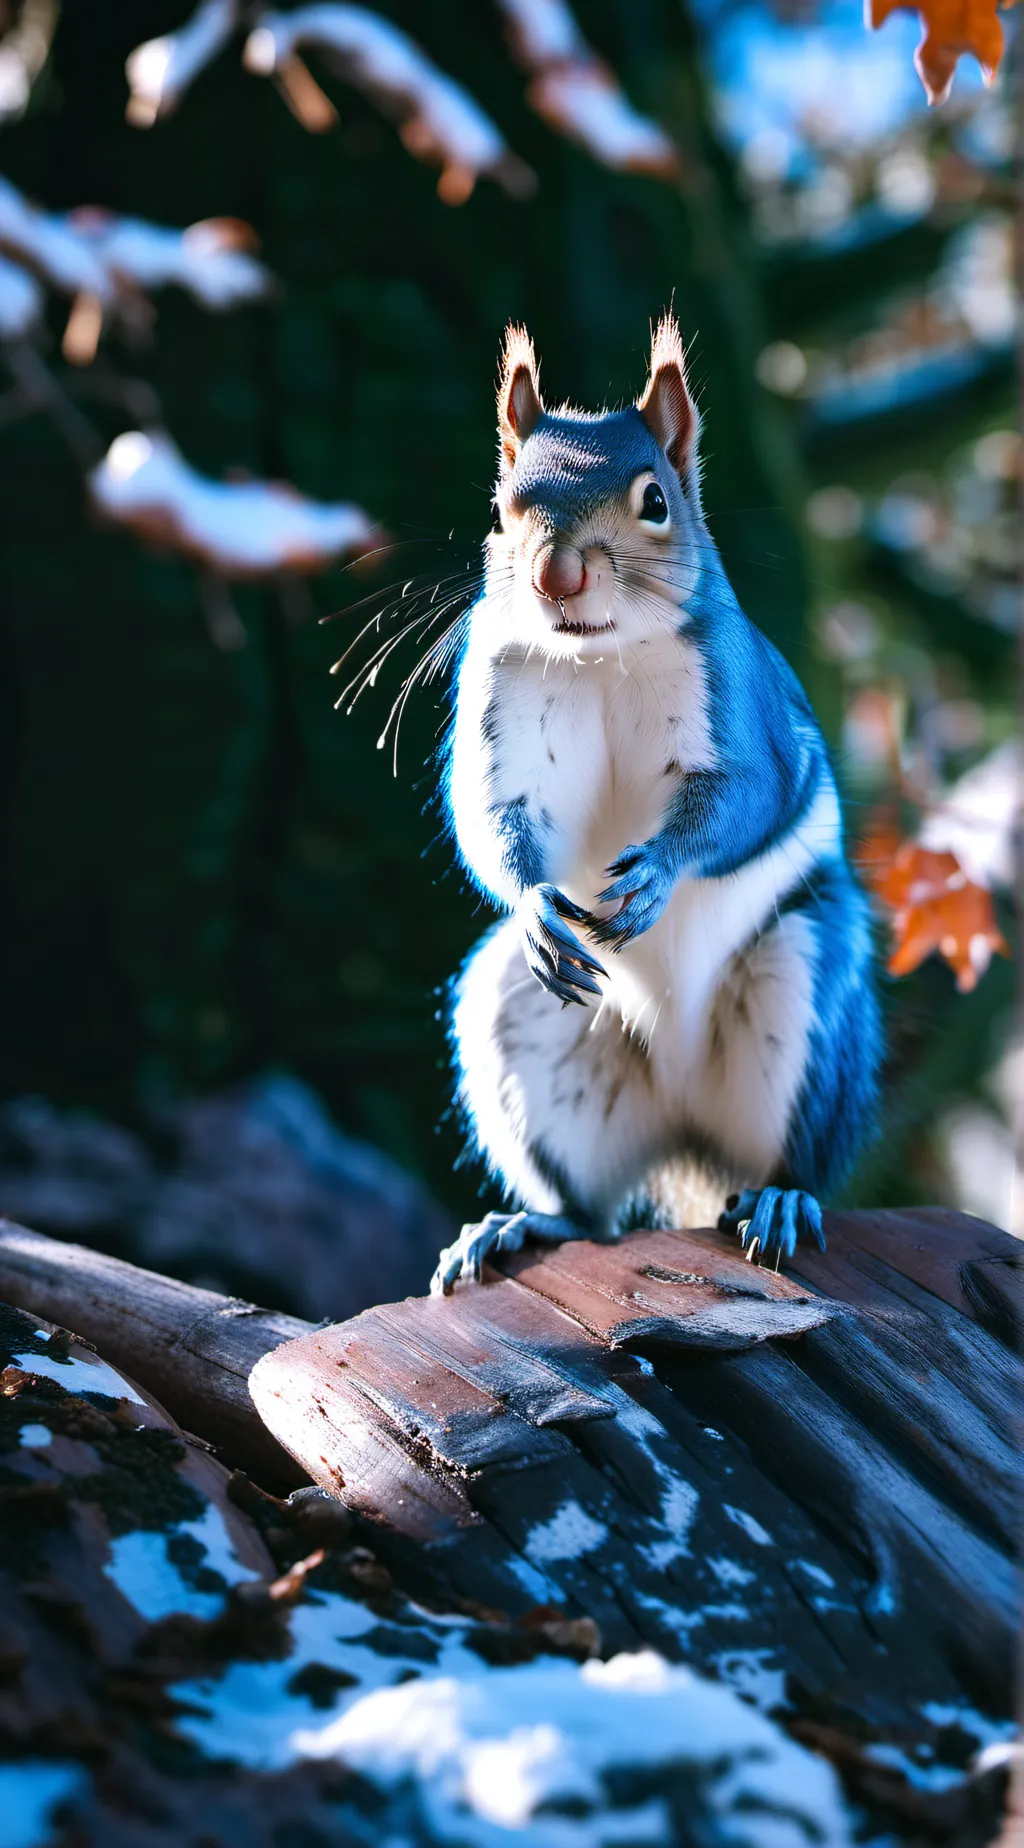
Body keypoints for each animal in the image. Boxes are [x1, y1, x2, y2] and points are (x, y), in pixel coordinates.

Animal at [429, 314, 881, 1294]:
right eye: (501, 509)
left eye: (655, 500)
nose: (556, 575)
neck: (599, 653)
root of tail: (684, 1127)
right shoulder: (499, 702)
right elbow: (491, 819)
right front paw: (535, 903)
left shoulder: (744, 708)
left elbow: (748, 797)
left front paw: (658, 875)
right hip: (522, 1022)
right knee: (589, 1214)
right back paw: (520, 1225)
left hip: (804, 989)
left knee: (793, 1156)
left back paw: (780, 1199)